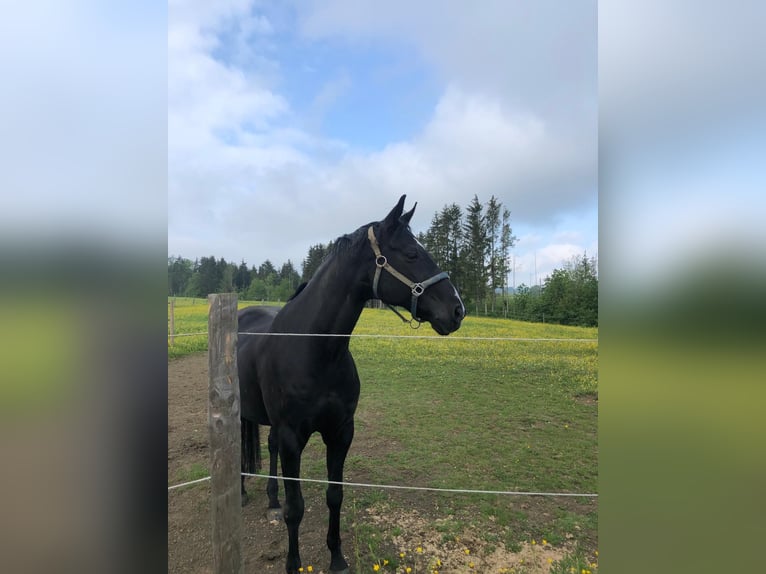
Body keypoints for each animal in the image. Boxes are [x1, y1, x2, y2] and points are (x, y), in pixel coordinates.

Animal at [237, 196, 464, 572]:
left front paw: (338, 558)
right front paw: (293, 563)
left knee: (267, 448)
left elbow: (335, 495)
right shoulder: (292, 437)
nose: (457, 310)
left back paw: (271, 501)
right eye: (411, 254)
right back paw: (241, 492)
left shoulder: (341, 432)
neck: (316, 352)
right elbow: (297, 507)